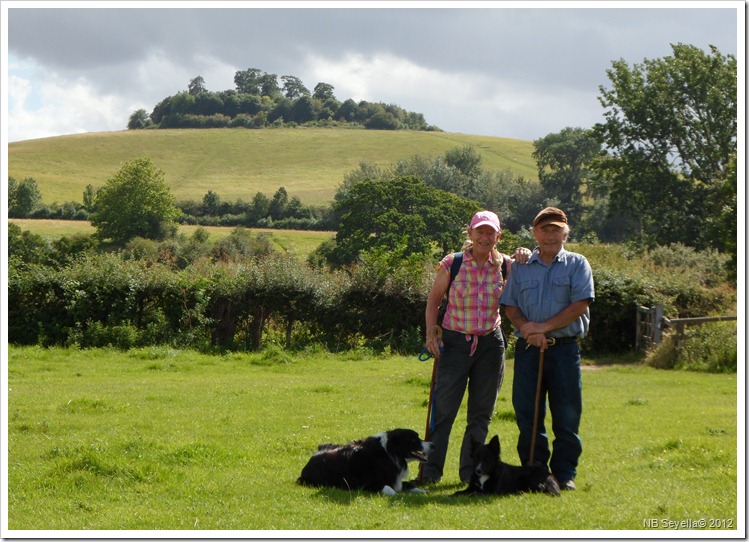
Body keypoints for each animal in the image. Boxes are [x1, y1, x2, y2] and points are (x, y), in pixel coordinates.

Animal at [294, 430, 430, 498]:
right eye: (413, 439)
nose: (432, 445)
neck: (388, 453)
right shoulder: (364, 484)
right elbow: (388, 488)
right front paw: (396, 495)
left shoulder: (396, 480)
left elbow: (407, 485)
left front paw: (423, 491)